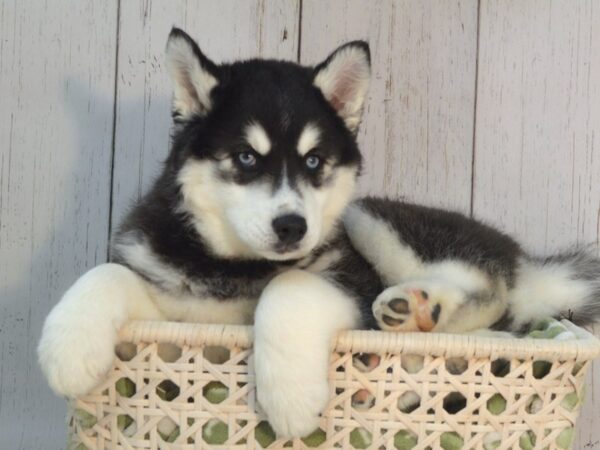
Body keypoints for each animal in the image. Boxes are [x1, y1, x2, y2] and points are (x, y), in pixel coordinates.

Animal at [38, 28, 600, 440]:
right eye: (246, 157)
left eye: (313, 161)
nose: (293, 226)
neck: (235, 267)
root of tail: (524, 259)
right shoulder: (172, 312)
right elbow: (107, 273)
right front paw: (68, 348)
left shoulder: (350, 282)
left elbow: (292, 285)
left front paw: (288, 395)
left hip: (368, 217)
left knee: (491, 295)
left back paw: (421, 314)